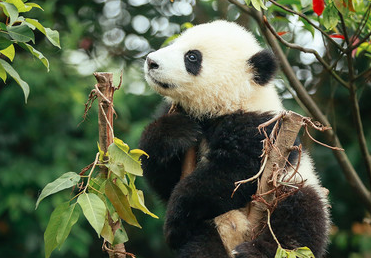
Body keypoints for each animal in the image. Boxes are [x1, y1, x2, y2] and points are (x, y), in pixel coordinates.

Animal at [140, 20, 332, 258]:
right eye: (175, 43)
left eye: (192, 57)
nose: (151, 62)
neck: (234, 101)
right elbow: (163, 179)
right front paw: (176, 132)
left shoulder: (262, 130)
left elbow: (233, 174)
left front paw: (175, 222)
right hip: (210, 230)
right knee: (201, 246)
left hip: (293, 186)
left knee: (299, 220)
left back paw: (253, 251)